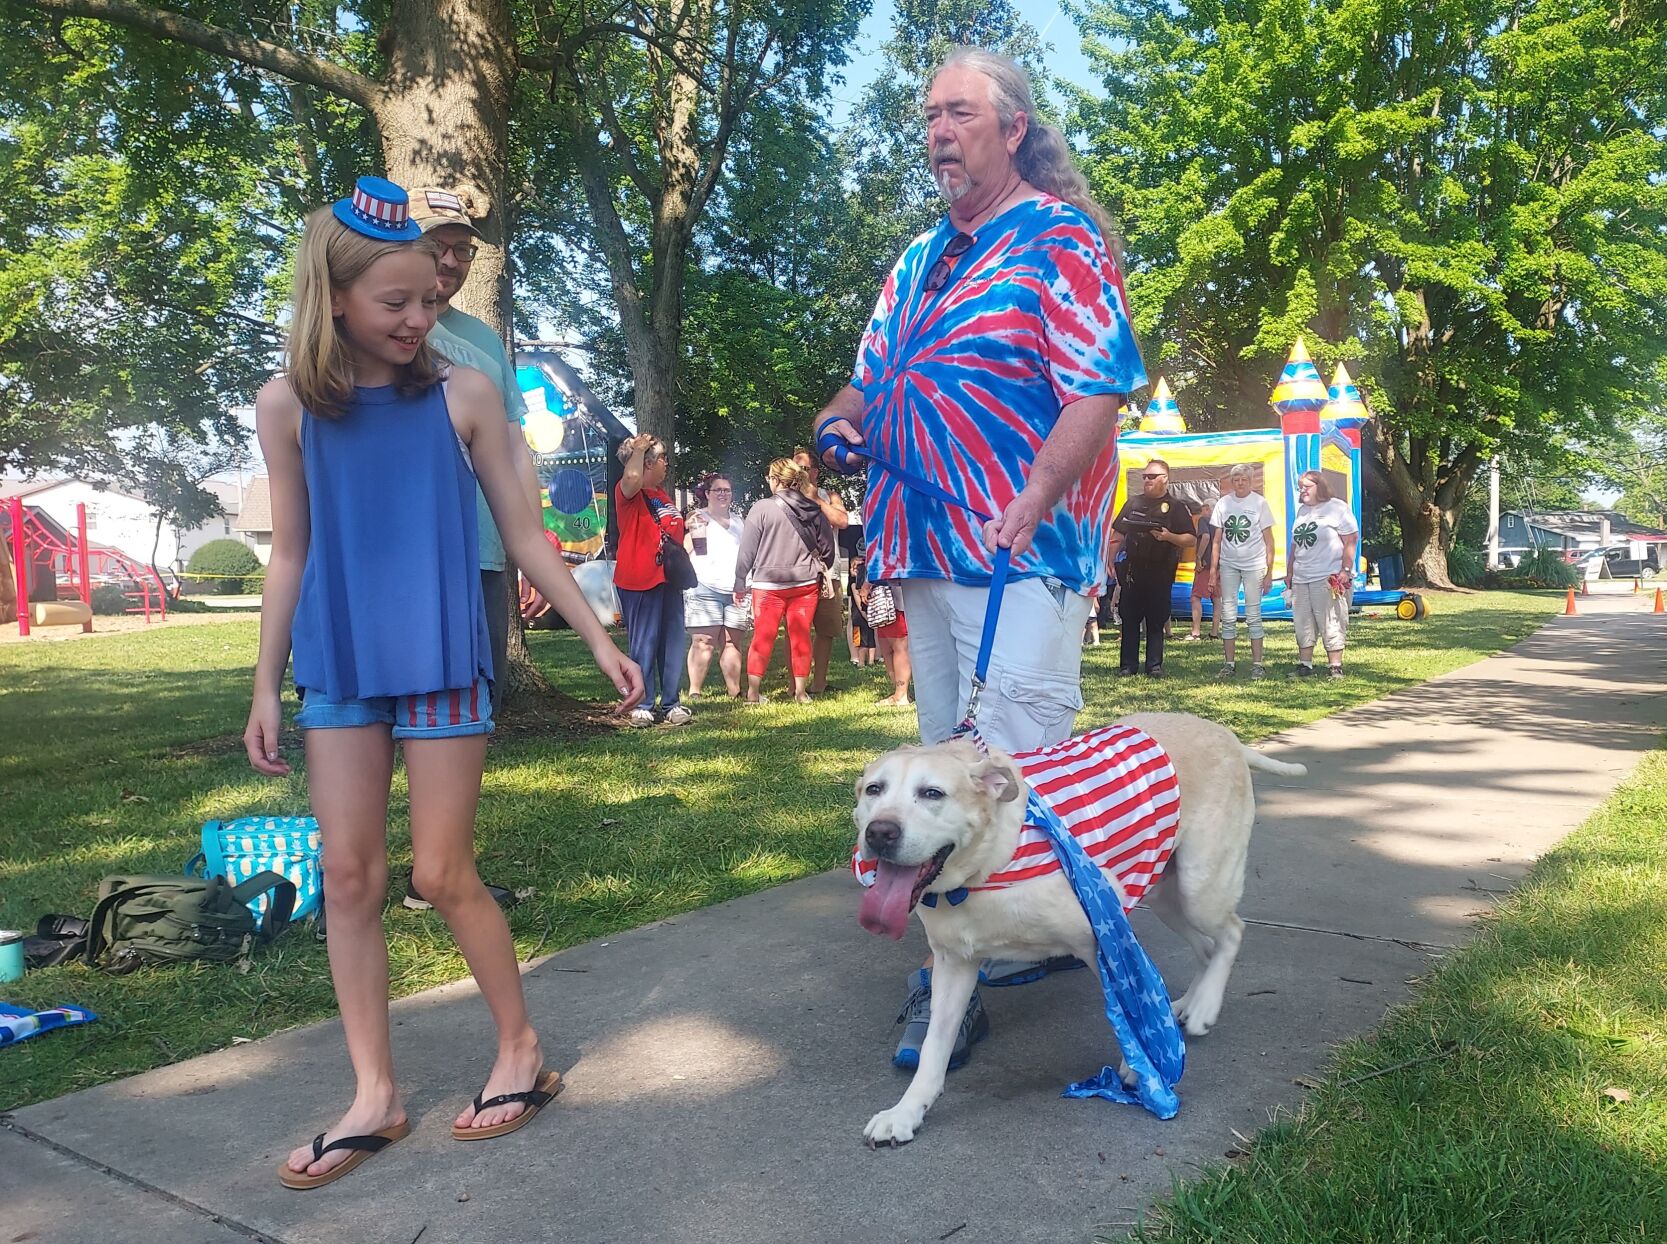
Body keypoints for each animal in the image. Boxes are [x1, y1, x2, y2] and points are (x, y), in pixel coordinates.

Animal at [860, 713, 1300, 1140]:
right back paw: (1188, 1005)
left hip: (1199, 889)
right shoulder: (954, 964)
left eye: (932, 793)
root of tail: (1223, 733)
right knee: (1206, 947)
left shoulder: (1105, 935)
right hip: (1167, 896)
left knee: (1232, 931)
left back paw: (1204, 1007)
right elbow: (933, 1051)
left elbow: (1130, 1003)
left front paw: (1142, 1067)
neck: (986, 869)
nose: (879, 833)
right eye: (873, 790)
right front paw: (905, 1113)